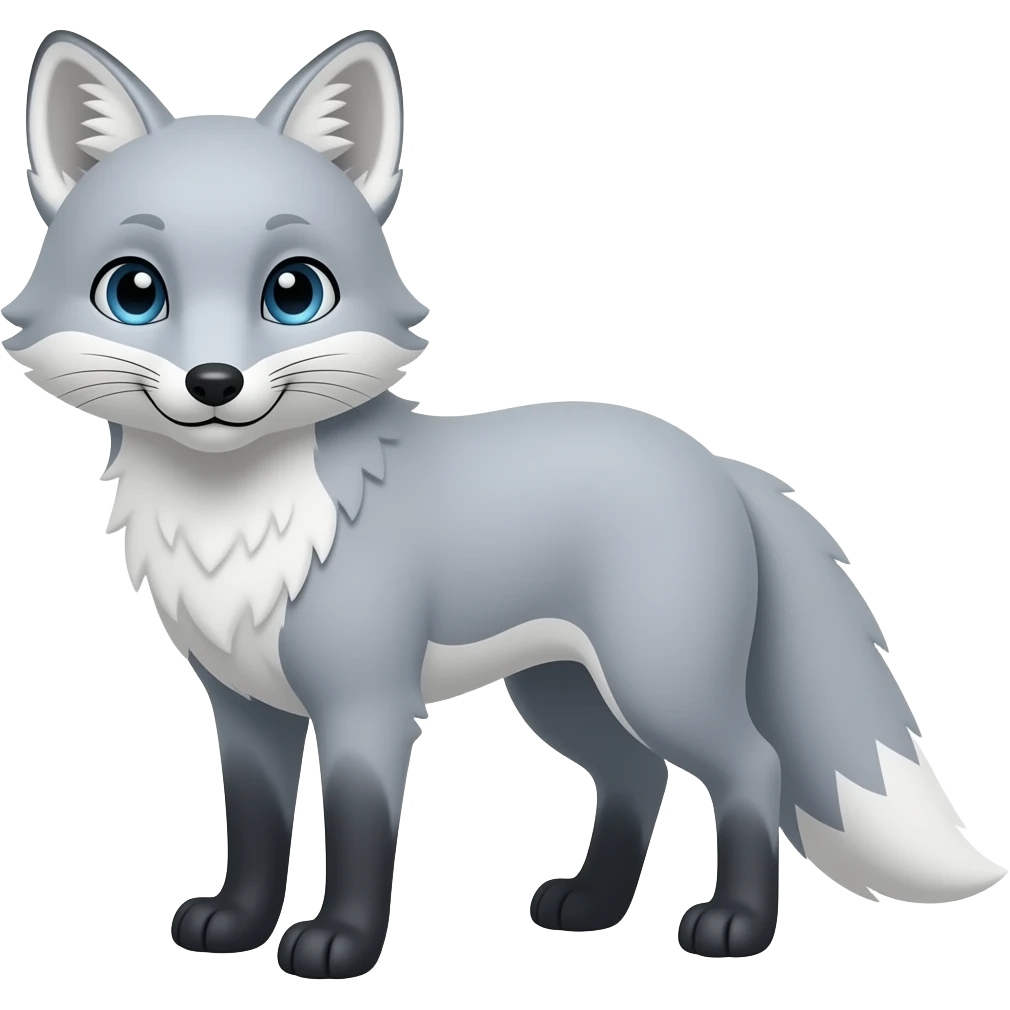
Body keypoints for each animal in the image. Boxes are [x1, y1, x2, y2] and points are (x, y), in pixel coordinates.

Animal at [3, 27, 1005, 979]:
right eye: (135, 292)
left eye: (295, 292)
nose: (215, 384)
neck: (236, 525)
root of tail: (715, 460)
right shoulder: (246, 706)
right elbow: (253, 830)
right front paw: (237, 926)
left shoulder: (367, 700)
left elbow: (360, 834)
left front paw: (342, 946)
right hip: (562, 692)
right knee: (638, 778)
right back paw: (592, 907)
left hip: (658, 681)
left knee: (752, 766)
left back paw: (737, 927)